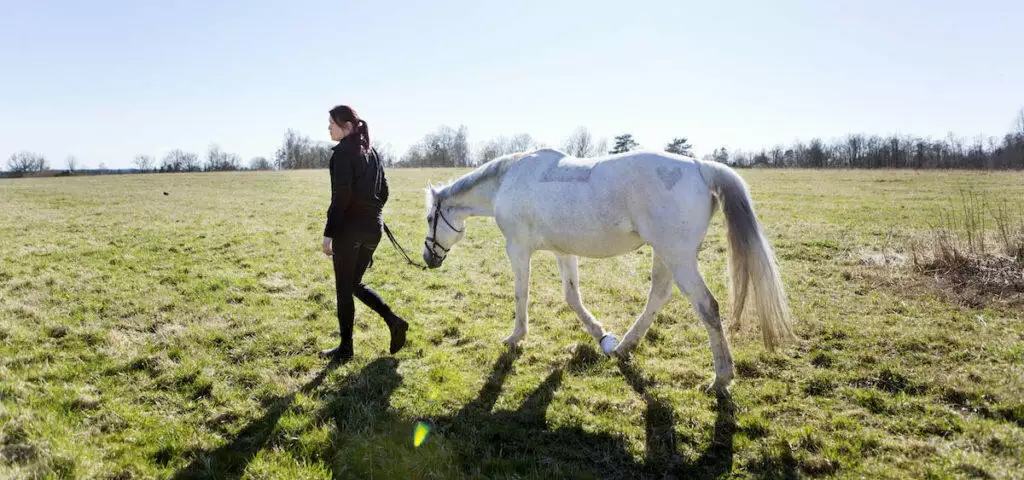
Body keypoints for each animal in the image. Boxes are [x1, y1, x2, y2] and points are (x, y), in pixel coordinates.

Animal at [422, 148, 796, 393]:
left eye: (428, 218)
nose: (428, 258)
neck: (505, 181)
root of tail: (699, 167)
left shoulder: (517, 248)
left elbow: (521, 293)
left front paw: (516, 336)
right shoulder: (563, 252)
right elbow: (571, 297)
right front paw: (601, 335)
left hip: (678, 257)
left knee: (707, 307)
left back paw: (720, 378)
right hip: (666, 254)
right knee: (658, 295)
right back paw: (624, 346)